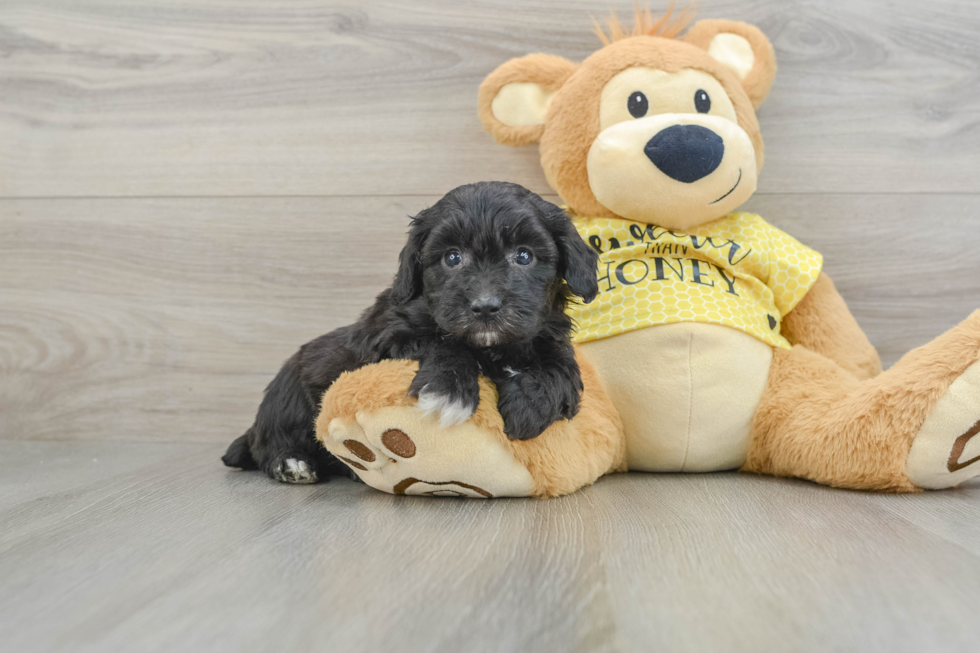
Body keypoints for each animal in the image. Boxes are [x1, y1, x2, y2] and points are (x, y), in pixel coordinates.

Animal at [224, 181, 596, 482]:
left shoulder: (551, 336)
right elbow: (443, 344)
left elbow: (560, 368)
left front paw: (529, 407)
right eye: (452, 257)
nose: (485, 307)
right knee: (268, 443)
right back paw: (292, 463)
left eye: (524, 255)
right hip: (287, 400)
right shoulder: (391, 334)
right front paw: (448, 390)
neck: (491, 346)